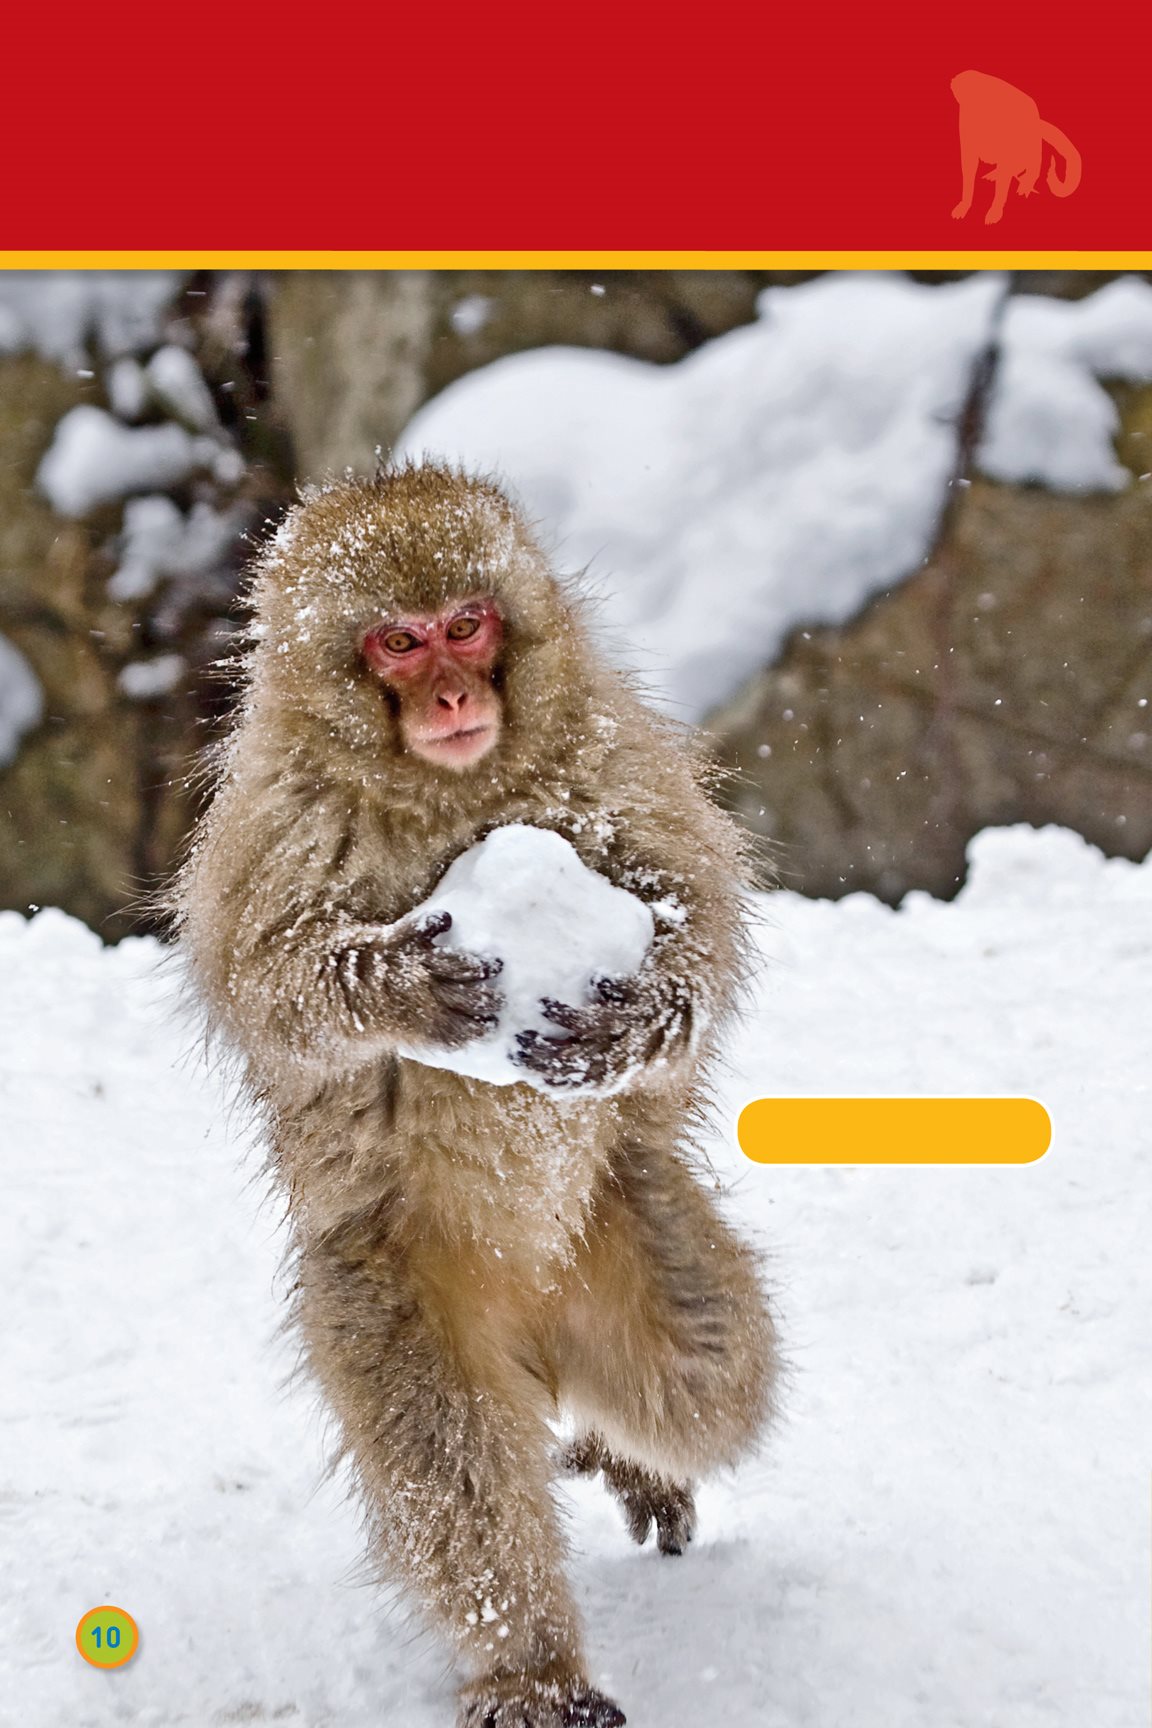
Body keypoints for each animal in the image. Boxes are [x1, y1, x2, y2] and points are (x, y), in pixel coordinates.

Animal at [170, 466, 780, 1721]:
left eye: (466, 624)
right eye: (397, 643)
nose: (450, 692)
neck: (449, 789)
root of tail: (528, 1311)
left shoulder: (618, 765)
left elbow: (701, 920)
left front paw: (641, 1020)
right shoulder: (276, 825)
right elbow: (275, 994)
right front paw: (399, 989)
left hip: (625, 1233)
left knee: (710, 1379)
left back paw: (625, 1450)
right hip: (385, 1288)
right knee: (454, 1468)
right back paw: (533, 1665)